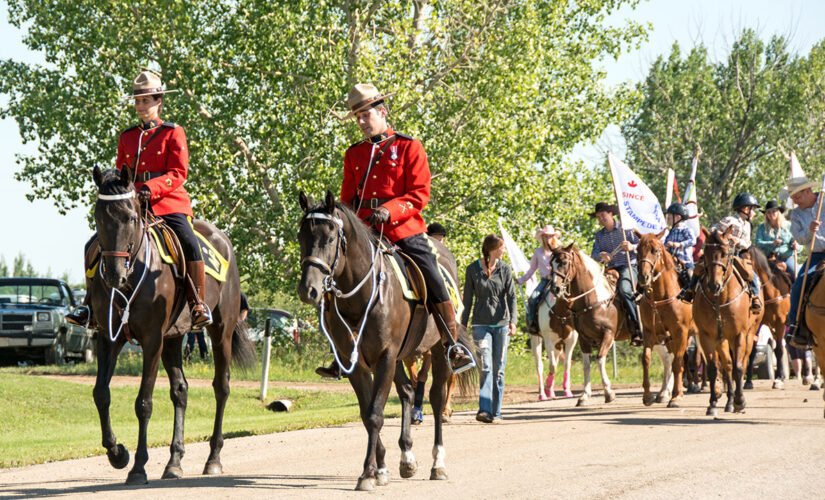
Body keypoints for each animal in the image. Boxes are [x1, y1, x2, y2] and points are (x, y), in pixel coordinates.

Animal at [86, 167, 254, 484]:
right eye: (99, 217)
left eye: (131, 217)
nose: (114, 274)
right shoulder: (108, 338)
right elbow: (101, 394)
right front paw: (117, 454)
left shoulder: (152, 340)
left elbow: (143, 402)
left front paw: (138, 466)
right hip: (174, 338)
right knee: (181, 391)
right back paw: (174, 462)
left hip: (220, 332)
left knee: (221, 387)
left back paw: (213, 458)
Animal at [300, 191, 474, 492]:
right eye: (301, 236)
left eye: (330, 238)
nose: (307, 289)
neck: (362, 293)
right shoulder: (355, 363)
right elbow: (367, 413)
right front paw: (379, 469)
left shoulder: (385, 358)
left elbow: (375, 413)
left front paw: (368, 474)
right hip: (402, 357)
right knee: (407, 392)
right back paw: (407, 458)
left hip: (437, 350)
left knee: (436, 399)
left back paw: (437, 463)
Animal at [636, 230, 700, 406]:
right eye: (637, 250)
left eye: (655, 250)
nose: (643, 277)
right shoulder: (650, 332)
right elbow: (646, 359)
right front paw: (647, 396)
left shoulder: (680, 332)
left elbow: (677, 362)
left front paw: (676, 396)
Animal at [692, 229, 764, 416]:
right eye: (706, 253)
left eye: (725, 253)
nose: (713, 285)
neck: (720, 298)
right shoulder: (707, 336)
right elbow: (713, 368)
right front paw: (712, 403)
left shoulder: (739, 334)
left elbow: (739, 367)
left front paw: (740, 401)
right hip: (722, 339)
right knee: (727, 365)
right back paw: (729, 401)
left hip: (749, 334)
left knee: (741, 363)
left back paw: (737, 399)